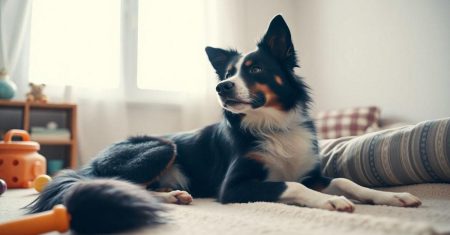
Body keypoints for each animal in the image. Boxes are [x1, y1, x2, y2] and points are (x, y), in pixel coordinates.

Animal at [29, 14, 420, 233]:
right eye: (228, 72)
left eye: (255, 68)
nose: (222, 86)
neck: (271, 125)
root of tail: (92, 161)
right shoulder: (232, 188)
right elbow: (290, 185)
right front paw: (332, 203)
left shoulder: (311, 170)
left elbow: (342, 179)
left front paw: (392, 196)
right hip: (161, 145)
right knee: (116, 183)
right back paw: (167, 195)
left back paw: (172, 194)